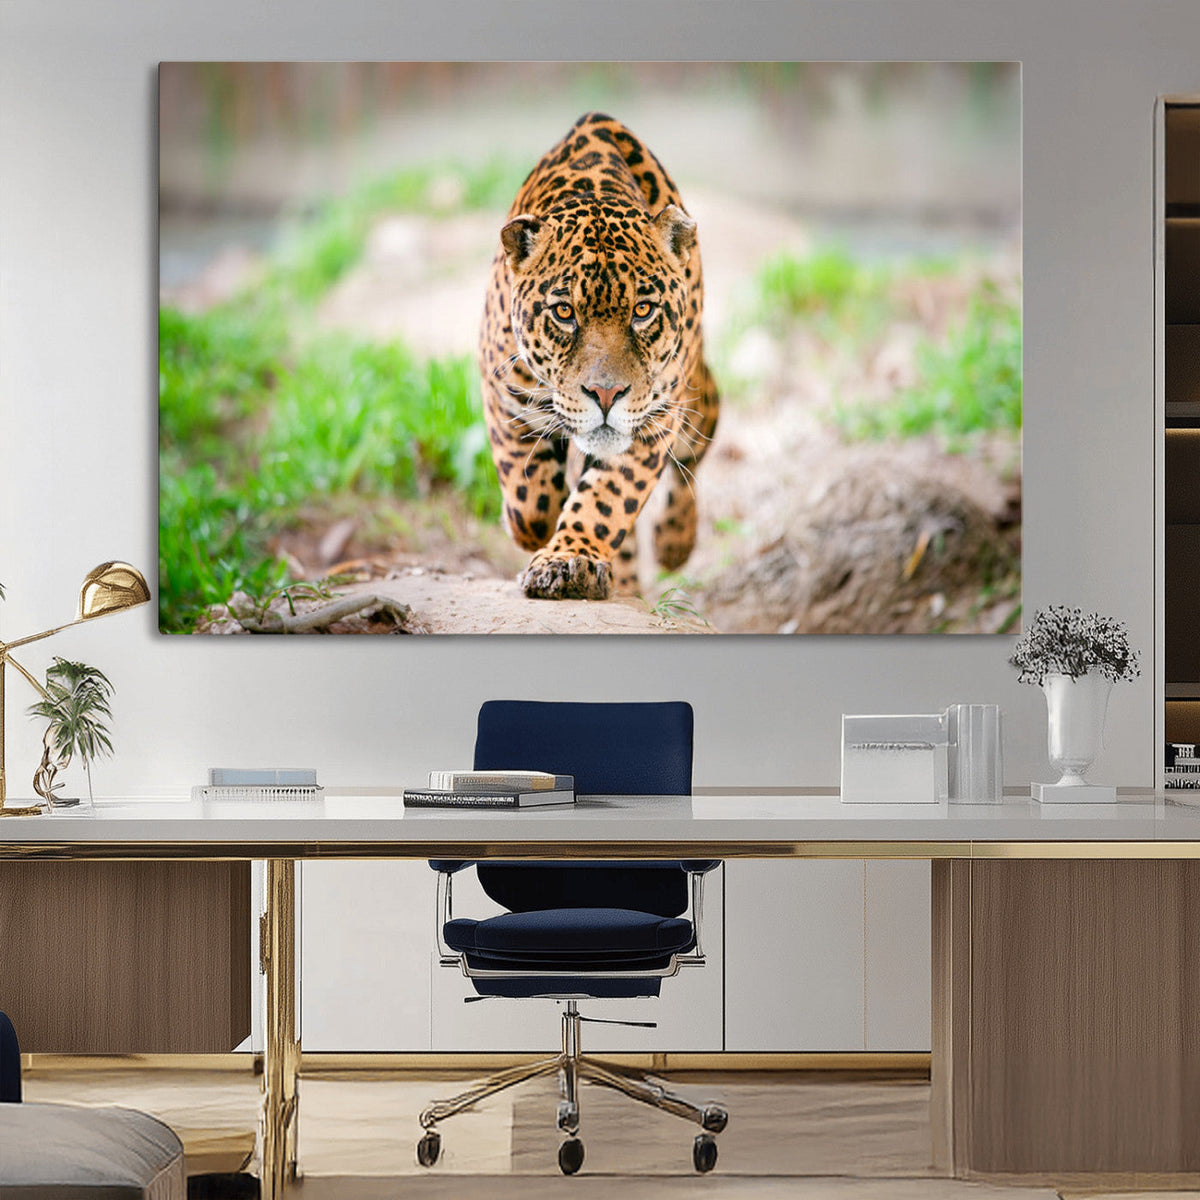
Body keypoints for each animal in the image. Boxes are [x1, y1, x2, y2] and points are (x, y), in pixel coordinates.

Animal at [478, 112, 720, 601]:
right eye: (564, 312)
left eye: (643, 311)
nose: (606, 395)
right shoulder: (502, 391)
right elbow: (529, 499)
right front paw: (534, 529)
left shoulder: (654, 420)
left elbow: (606, 500)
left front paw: (569, 560)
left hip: (694, 398)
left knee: (697, 443)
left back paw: (674, 543)